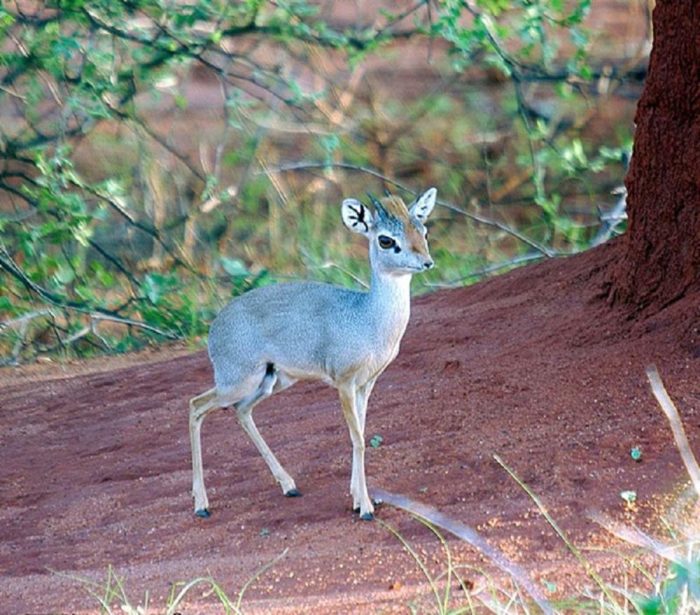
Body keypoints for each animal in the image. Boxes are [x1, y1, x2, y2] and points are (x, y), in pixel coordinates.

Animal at [189, 186, 434, 520]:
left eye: (423, 230)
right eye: (386, 240)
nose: (427, 262)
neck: (367, 319)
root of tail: (215, 326)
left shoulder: (366, 384)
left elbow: (361, 433)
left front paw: (357, 498)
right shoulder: (344, 383)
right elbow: (357, 439)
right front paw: (365, 507)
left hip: (272, 381)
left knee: (241, 411)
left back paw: (289, 485)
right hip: (236, 382)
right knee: (196, 406)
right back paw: (201, 505)